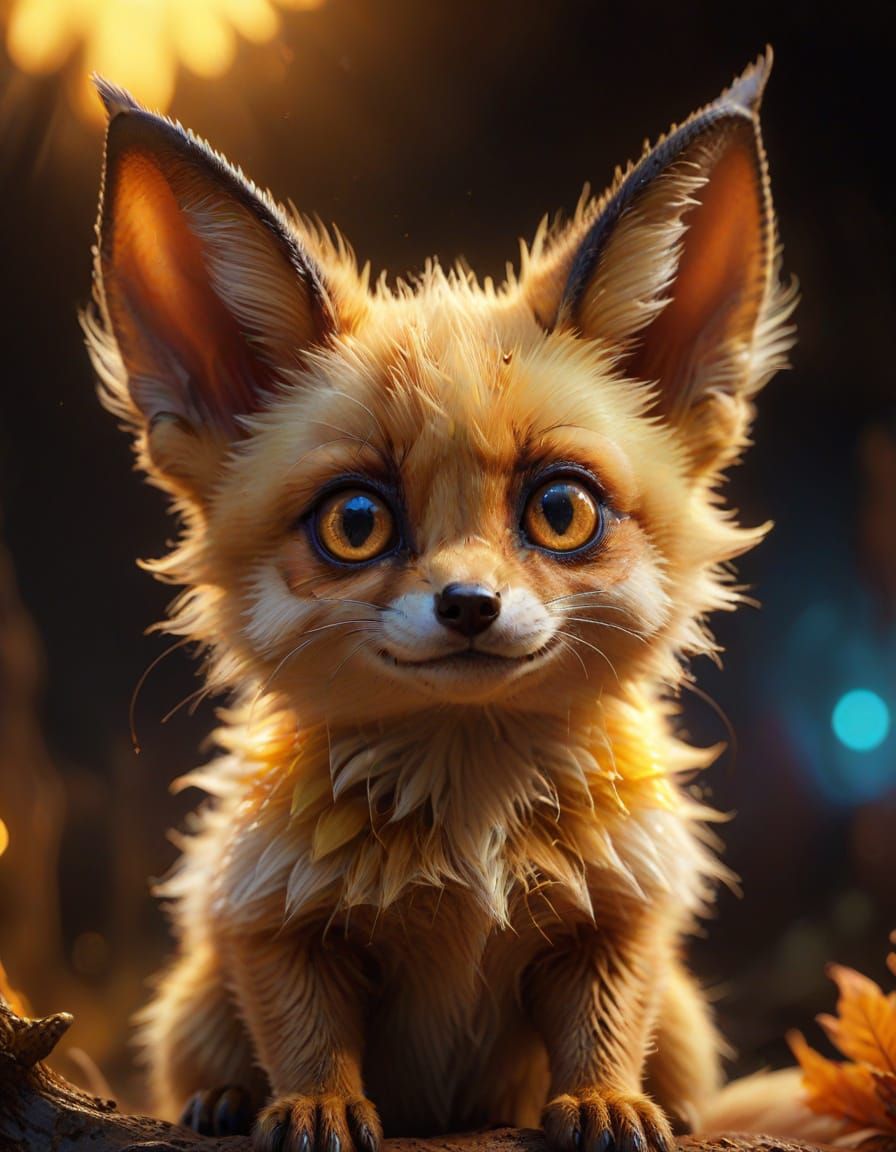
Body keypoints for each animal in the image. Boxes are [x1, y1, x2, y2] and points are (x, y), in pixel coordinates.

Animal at [85, 52, 801, 1152]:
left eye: (560, 510)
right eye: (355, 523)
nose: (468, 604)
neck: (468, 834)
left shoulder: (620, 913)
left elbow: (605, 1022)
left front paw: (605, 1102)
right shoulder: (266, 916)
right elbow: (302, 1029)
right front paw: (314, 1107)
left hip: (684, 1019)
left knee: (681, 1068)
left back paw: (673, 1110)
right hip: (189, 1005)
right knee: (205, 1056)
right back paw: (222, 1103)